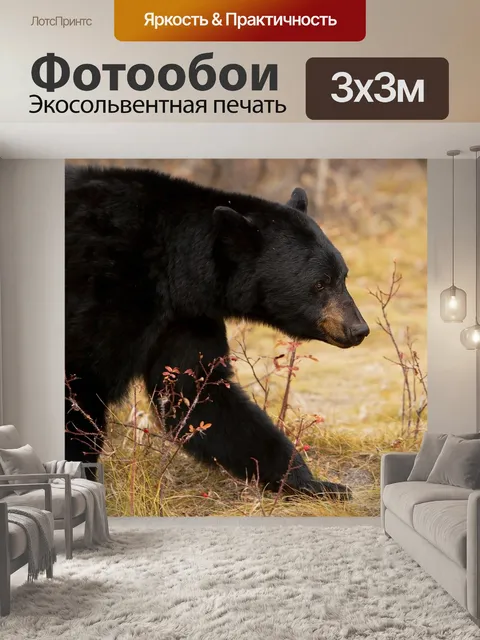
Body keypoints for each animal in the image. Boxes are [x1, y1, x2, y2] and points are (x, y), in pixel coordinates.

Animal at [65, 165, 369, 499]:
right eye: (320, 283)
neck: (173, 266)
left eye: (343, 276)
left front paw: (313, 482)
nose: (358, 328)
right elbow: (81, 382)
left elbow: (199, 394)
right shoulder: (106, 292)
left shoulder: (187, 317)